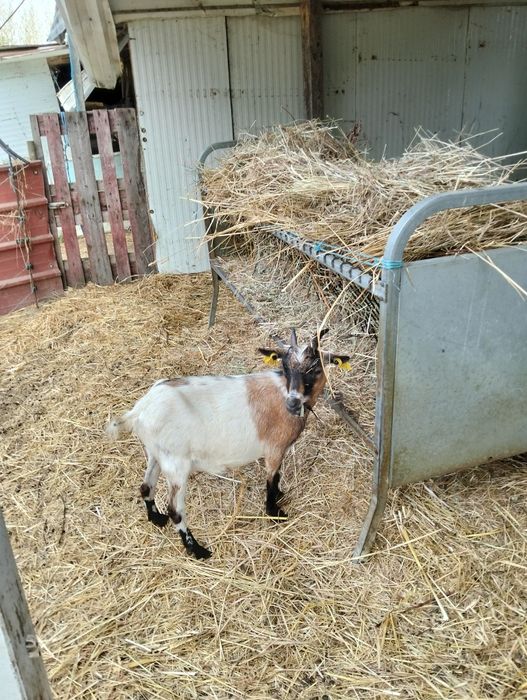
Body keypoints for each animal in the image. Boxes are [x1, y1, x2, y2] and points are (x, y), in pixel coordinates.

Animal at [106, 328, 350, 559]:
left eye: (315, 368)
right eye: (285, 366)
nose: (292, 403)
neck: (281, 391)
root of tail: (140, 410)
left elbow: (278, 477)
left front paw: (280, 496)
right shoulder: (274, 449)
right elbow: (271, 479)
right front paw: (274, 512)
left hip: (155, 454)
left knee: (146, 486)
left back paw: (156, 518)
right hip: (176, 465)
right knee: (175, 509)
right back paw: (197, 550)